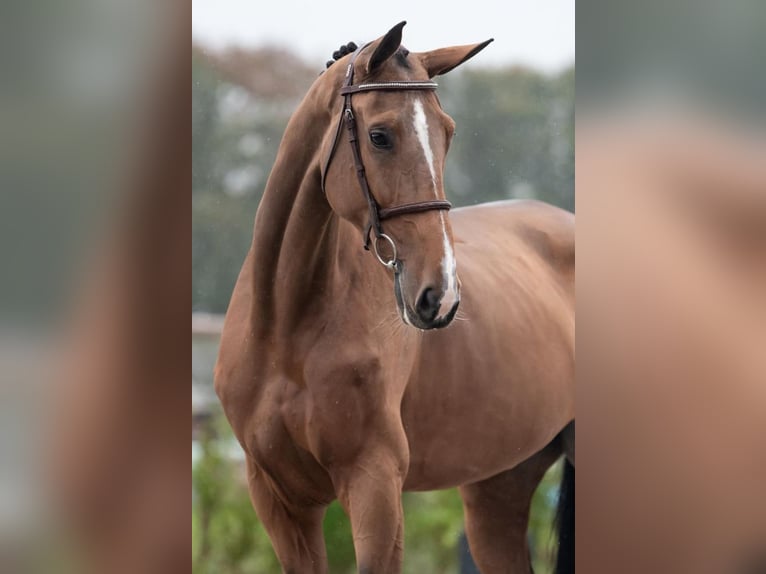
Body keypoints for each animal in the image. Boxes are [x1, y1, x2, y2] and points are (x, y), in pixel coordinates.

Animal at [216, 22, 576, 574]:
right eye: (379, 135)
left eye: (448, 132)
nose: (440, 295)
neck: (287, 330)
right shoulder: (278, 500)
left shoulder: (375, 486)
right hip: (498, 488)